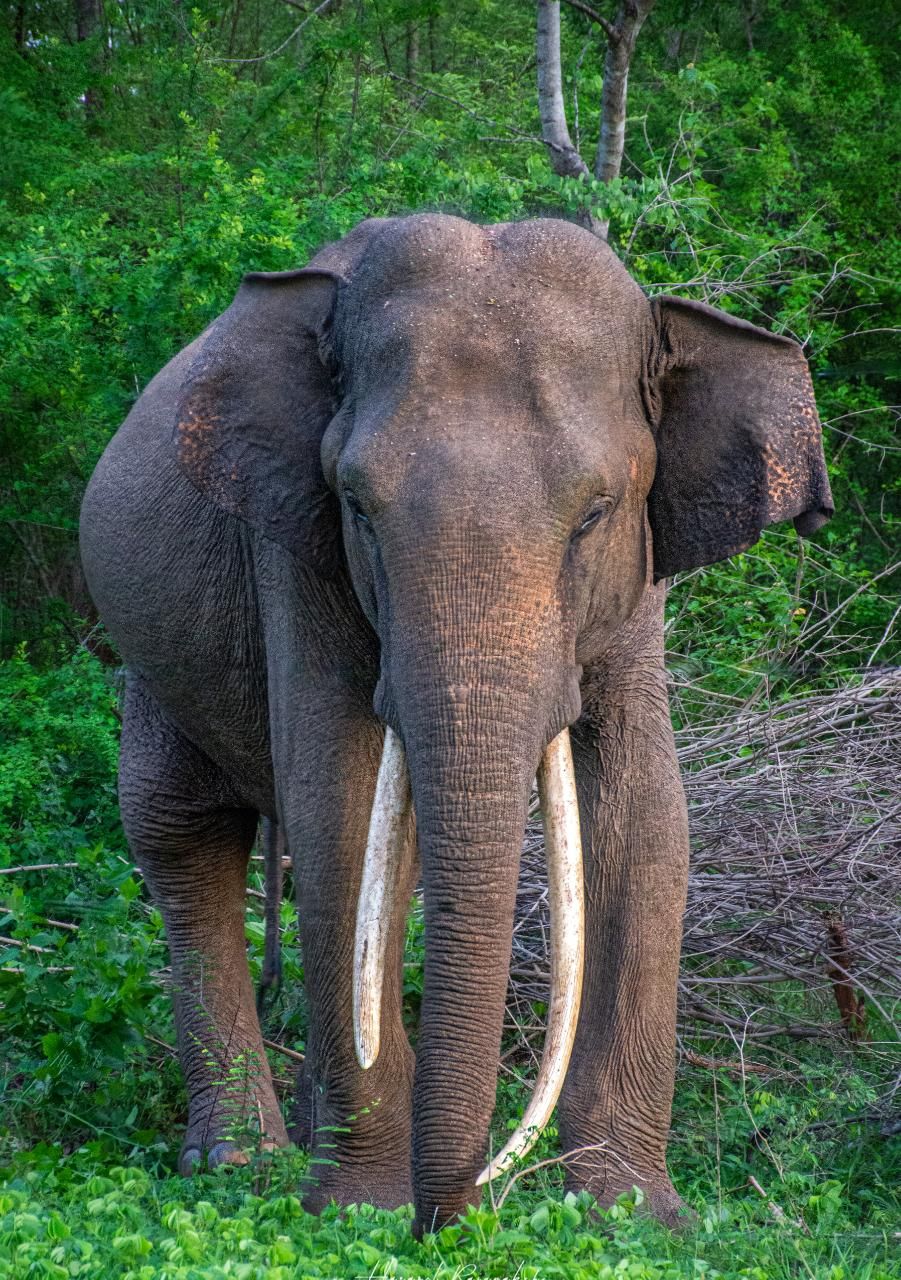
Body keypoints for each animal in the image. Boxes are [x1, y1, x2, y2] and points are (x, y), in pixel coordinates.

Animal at [79, 213, 832, 1236]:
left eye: (594, 513)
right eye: (357, 506)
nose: (463, 1213)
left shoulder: (640, 581)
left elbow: (643, 815)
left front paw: (629, 1213)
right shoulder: (297, 553)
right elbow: (339, 803)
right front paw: (359, 1213)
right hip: (149, 646)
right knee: (181, 834)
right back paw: (241, 1163)